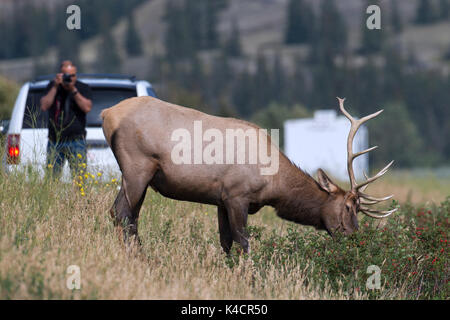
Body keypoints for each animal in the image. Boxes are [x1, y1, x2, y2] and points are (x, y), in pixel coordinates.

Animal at [100, 96, 396, 254]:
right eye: (348, 206)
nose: (356, 238)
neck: (273, 185)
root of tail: (107, 113)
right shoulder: (236, 195)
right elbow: (243, 242)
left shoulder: (220, 200)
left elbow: (225, 242)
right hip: (137, 167)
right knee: (122, 212)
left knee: (126, 215)